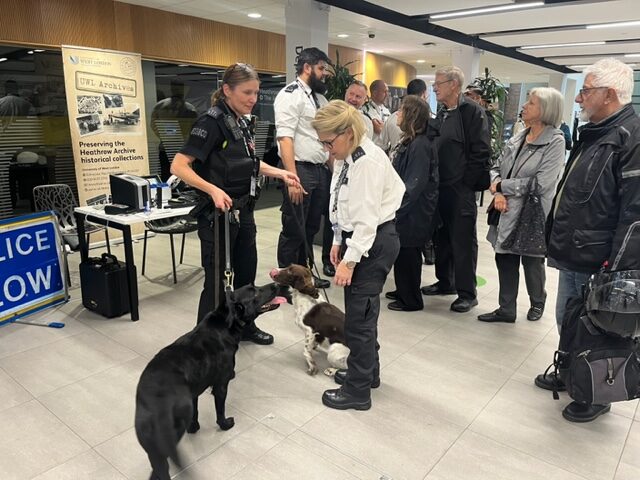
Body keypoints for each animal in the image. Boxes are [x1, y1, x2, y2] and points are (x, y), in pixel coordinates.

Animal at [134, 284, 282, 478]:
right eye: (255, 291)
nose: (276, 285)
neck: (225, 323)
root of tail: (152, 400)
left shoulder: (194, 392)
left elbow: (196, 412)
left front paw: (194, 427)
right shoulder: (221, 385)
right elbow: (220, 411)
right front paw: (225, 425)